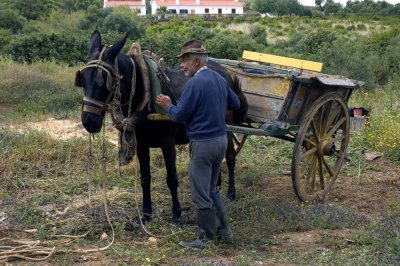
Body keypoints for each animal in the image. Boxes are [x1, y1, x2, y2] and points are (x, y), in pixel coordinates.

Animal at [75, 31, 247, 225]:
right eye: (82, 78)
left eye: (104, 80)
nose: (89, 122)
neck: (146, 94)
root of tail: (224, 70)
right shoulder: (141, 145)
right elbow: (145, 178)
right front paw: (146, 213)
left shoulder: (167, 144)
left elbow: (172, 179)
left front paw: (176, 213)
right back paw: (215, 188)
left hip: (227, 128)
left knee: (230, 156)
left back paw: (231, 193)